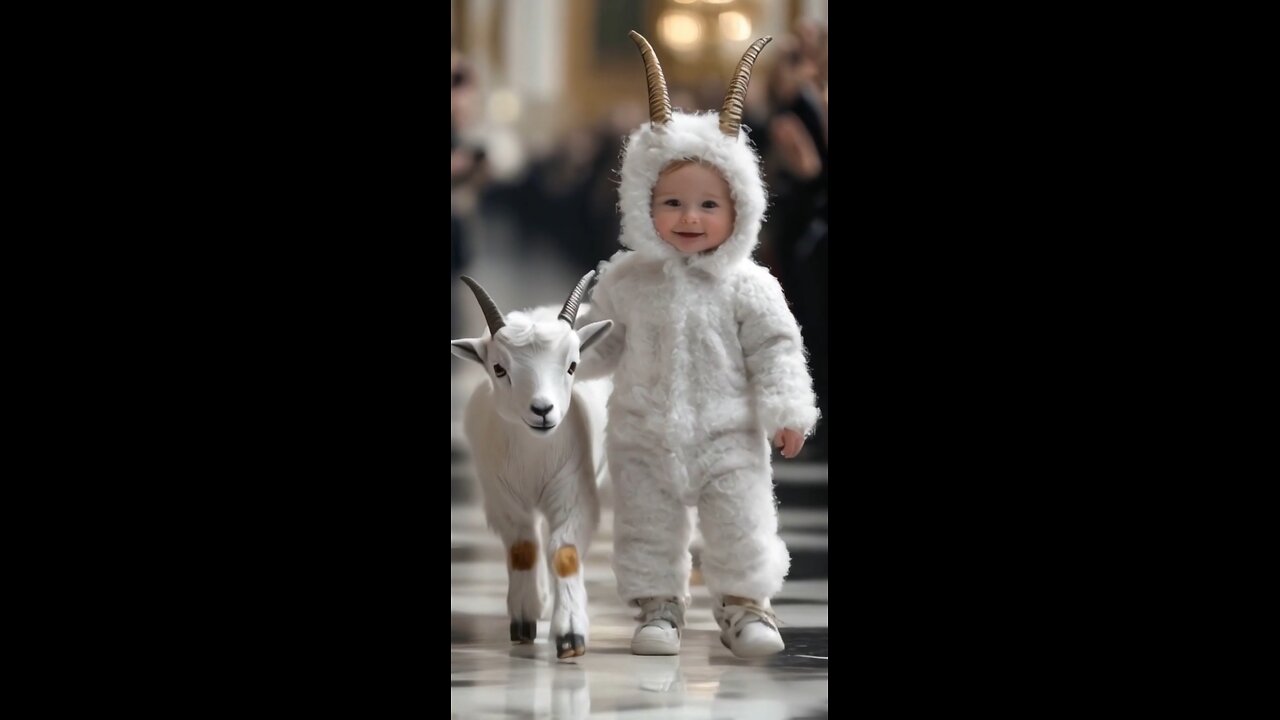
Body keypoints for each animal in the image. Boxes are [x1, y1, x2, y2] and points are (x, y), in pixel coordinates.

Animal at [450, 270, 614, 655]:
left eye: (572, 365)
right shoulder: (503, 499)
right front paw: (524, 621)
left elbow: (564, 553)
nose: (542, 410)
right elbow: (523, 549)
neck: (534, 456)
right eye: (499, 368)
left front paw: (570, 635)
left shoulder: (574, 492)